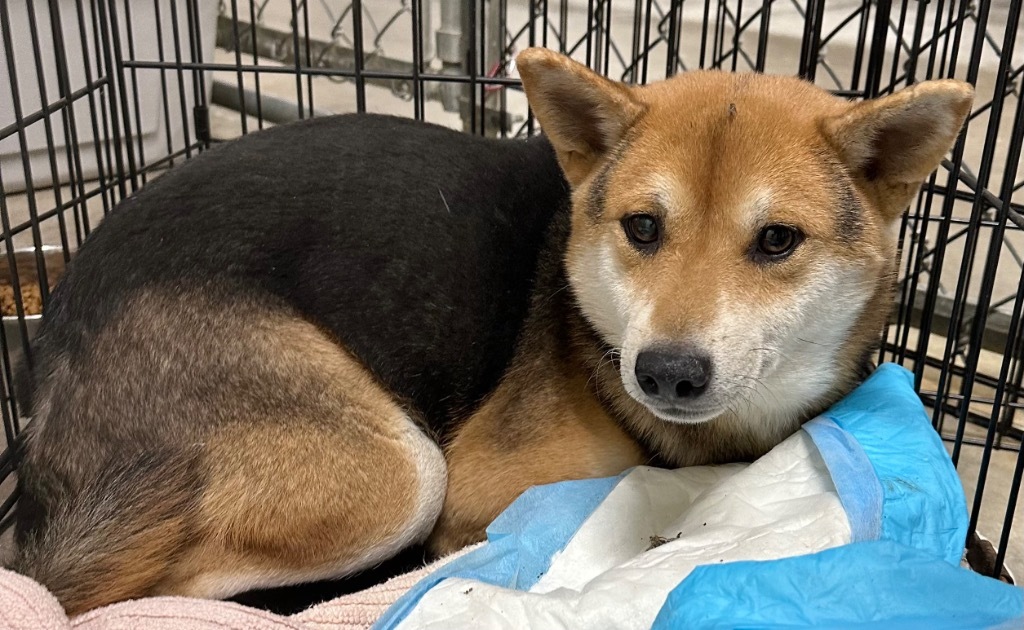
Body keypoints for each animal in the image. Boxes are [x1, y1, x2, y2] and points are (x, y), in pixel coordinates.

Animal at [8, 48, 970, 614]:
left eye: (776, 241)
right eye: (643, 228)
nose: (666, 371)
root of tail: (52, 350)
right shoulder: (482, 488)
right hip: (396, 473)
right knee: (128, 595)